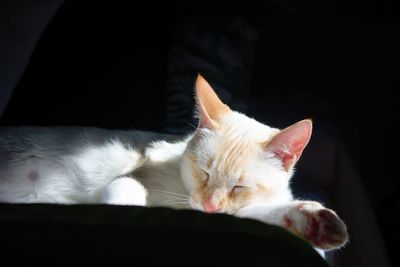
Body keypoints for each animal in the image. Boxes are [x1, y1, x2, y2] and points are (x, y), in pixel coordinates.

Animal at [0, 75, 346, 251]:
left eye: (239, 186)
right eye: (203, 173)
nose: (208, 207)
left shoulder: (237, 213)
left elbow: (266, 215)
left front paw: (315, 223)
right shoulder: (132, 179)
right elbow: (126, 196)